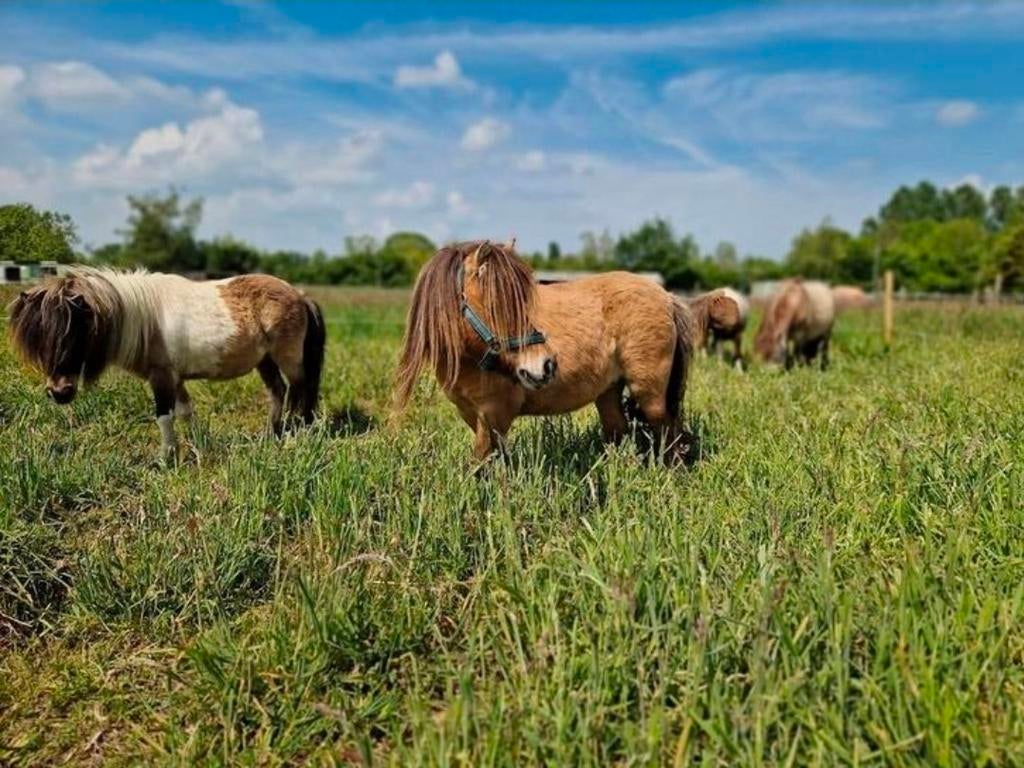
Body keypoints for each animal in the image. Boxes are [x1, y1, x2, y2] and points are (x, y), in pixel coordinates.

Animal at [7, 267, 325, 461]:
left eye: (76, 332)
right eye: (38, 339)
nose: (59, 393)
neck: (144, 319)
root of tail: (299, 295)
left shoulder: (161, 377)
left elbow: (164, 416)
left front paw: (167, 457)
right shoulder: (176, 378)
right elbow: (185, 412)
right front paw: (198, 444)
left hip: (287, 358)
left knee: (300, 391)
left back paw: (296, 433)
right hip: (265, 361)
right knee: (278, 392)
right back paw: (272, 433)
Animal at [395, 240, 697, 463]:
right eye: (497, 306)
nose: (544, 366)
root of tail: (667, 296)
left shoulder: (496, 415)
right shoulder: (472, 415)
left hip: (650, 393)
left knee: (668, 433)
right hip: (609, 391)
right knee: (618, 433)